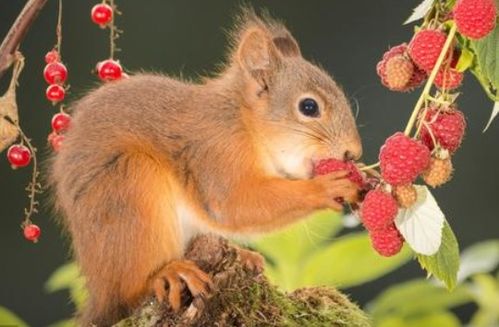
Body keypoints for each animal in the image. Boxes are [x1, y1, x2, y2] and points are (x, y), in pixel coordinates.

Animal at [49, 10, 364, 327]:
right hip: (128, 185)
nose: (353, 152)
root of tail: (99, 290)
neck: (243, 120)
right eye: (309, 107)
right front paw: (328, 187)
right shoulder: (216, 150)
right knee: (131, 288)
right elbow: (235, 204)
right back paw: (168, 273)